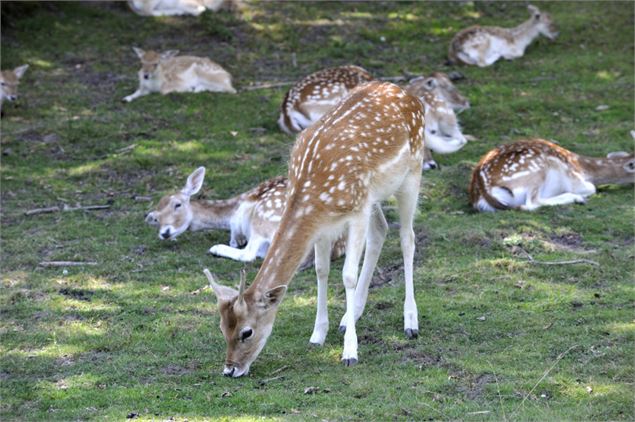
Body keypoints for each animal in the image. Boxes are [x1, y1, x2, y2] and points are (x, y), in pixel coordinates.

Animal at [146, 167, 346, 264]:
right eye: (155, 218)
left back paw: (217, 248)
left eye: (177, 204)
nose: (164, 233)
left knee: (249, 254)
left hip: (265, 217)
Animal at [207, 81, 428, 378]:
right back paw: (350, 316)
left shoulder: (356, 211)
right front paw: (317, 336)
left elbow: (348, 276)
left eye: (247, 332)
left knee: (407, 238)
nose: (230, 370)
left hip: (411, 173)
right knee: (381, 230)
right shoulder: (323, 225)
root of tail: (408, 94)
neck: (313, 195)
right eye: (222, 328)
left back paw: (410, 322)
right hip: (374, 195)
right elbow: (321, 270)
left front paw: (350, 352)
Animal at [470, 138, 632, 211]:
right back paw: (577, 199)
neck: (584, 168)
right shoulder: (572, 176)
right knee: (531, 203)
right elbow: (591, 188)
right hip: (536, 170)